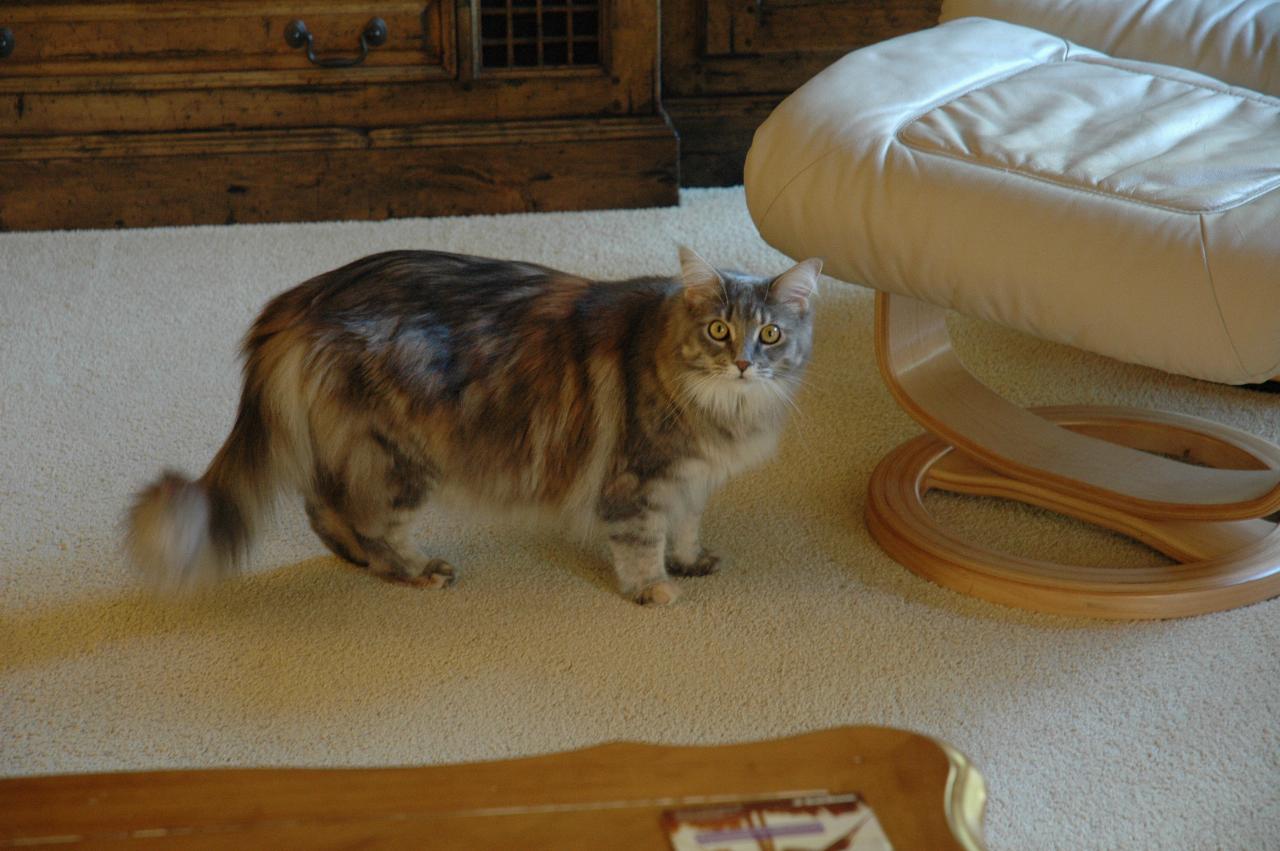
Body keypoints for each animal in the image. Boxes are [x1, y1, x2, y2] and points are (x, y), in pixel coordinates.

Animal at [127, 245, 819, 604]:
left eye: (770, 335)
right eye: (720, 330)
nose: (742, 362)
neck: (723, 412)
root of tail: (301, 298)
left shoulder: (691, 481)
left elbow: (685, 528)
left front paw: (690, 561)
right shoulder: (640, 481)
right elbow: (642, 544)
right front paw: (655, 589)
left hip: (355, 447)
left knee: (322, 505)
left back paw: (357, 559)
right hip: (399, 457)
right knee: (370, 520)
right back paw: (415, 570)